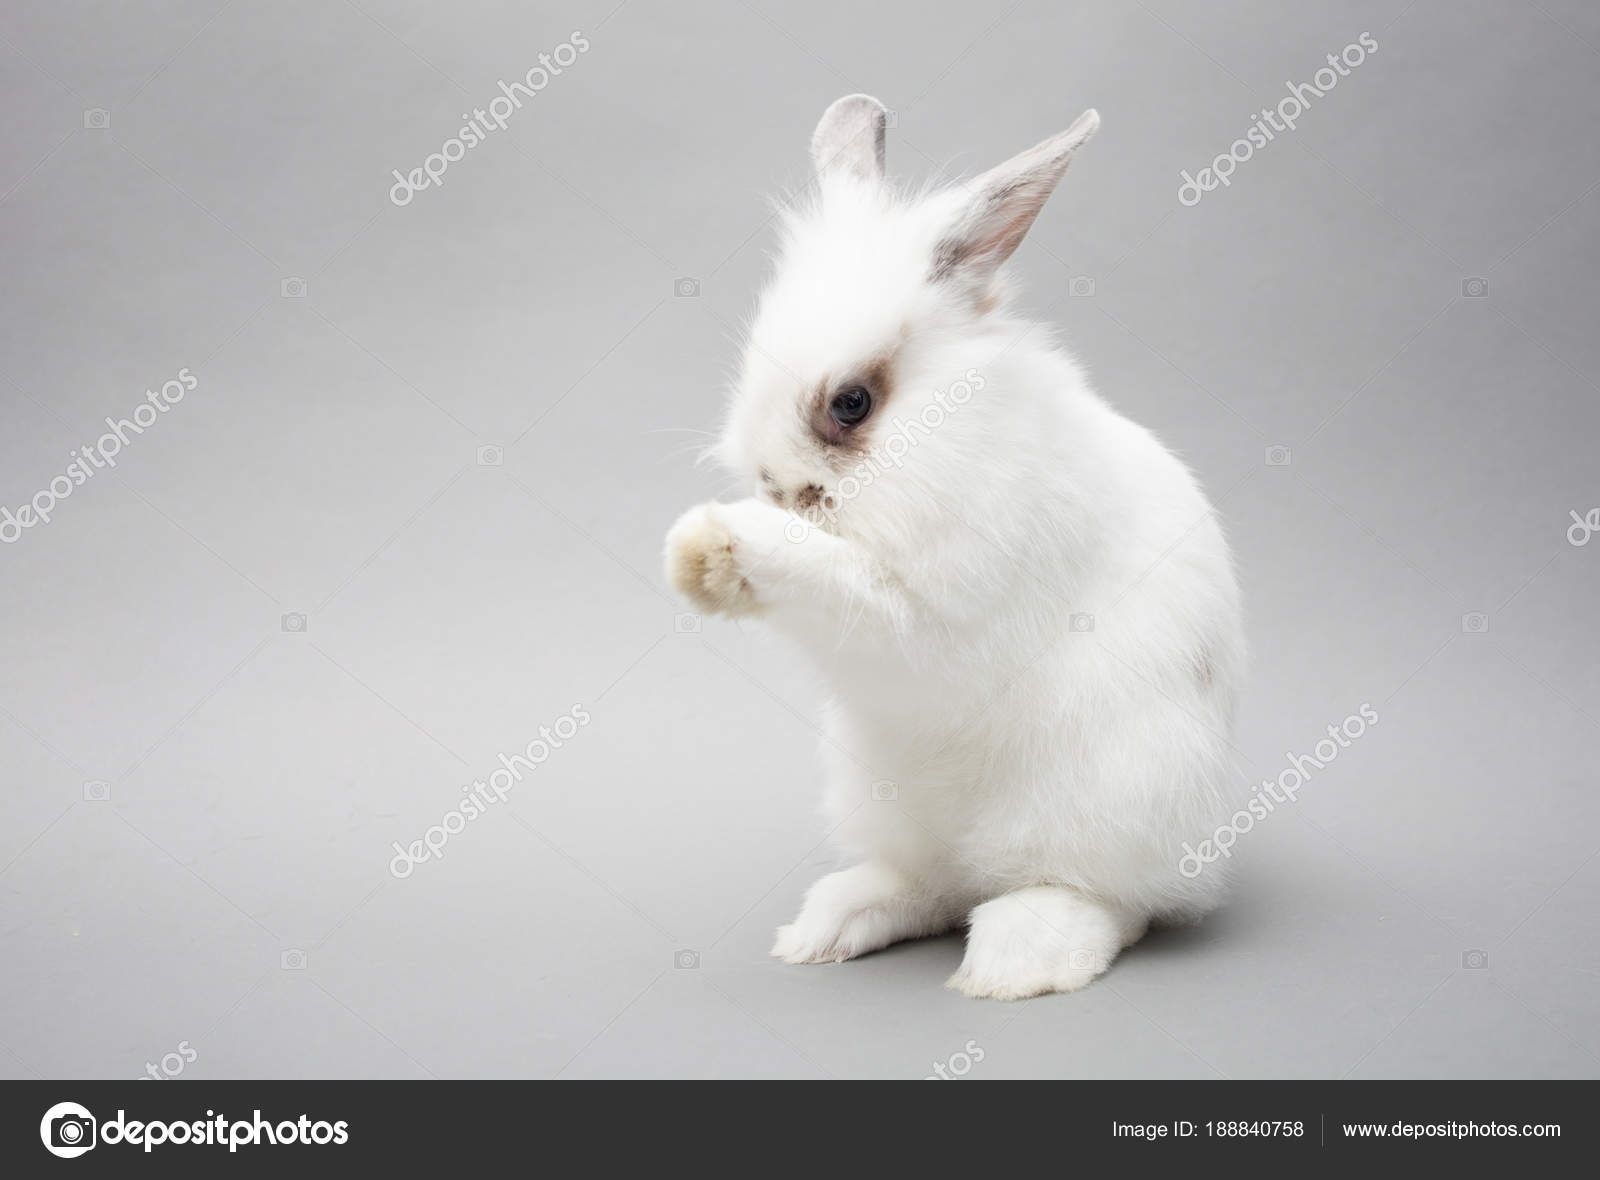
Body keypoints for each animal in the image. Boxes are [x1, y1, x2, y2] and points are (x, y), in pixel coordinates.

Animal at [664, 94, 1244, 999]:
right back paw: (825, 929)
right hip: (884, 798)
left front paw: (710, 543)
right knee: (931, 886)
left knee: (1111, 901)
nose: (775, 484)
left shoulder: (931, 617)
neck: (946, 432)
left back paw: (1011, 963)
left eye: (853, 402)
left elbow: (842, 583)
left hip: (1107, 802)